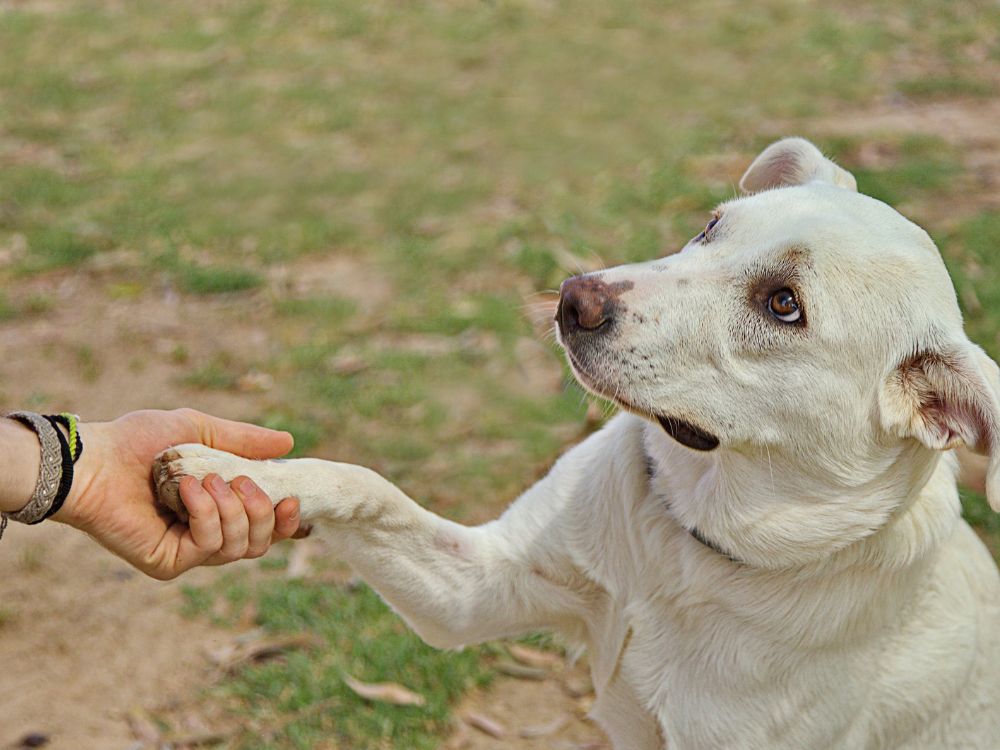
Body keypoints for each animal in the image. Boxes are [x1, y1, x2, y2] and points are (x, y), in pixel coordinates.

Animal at [156, 140, 1000, 750]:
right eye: (711, 227)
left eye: (783, 305)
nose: (573, 297)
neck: (686, 548)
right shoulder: (477, 590)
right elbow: (364, 483)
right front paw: (232, 472)